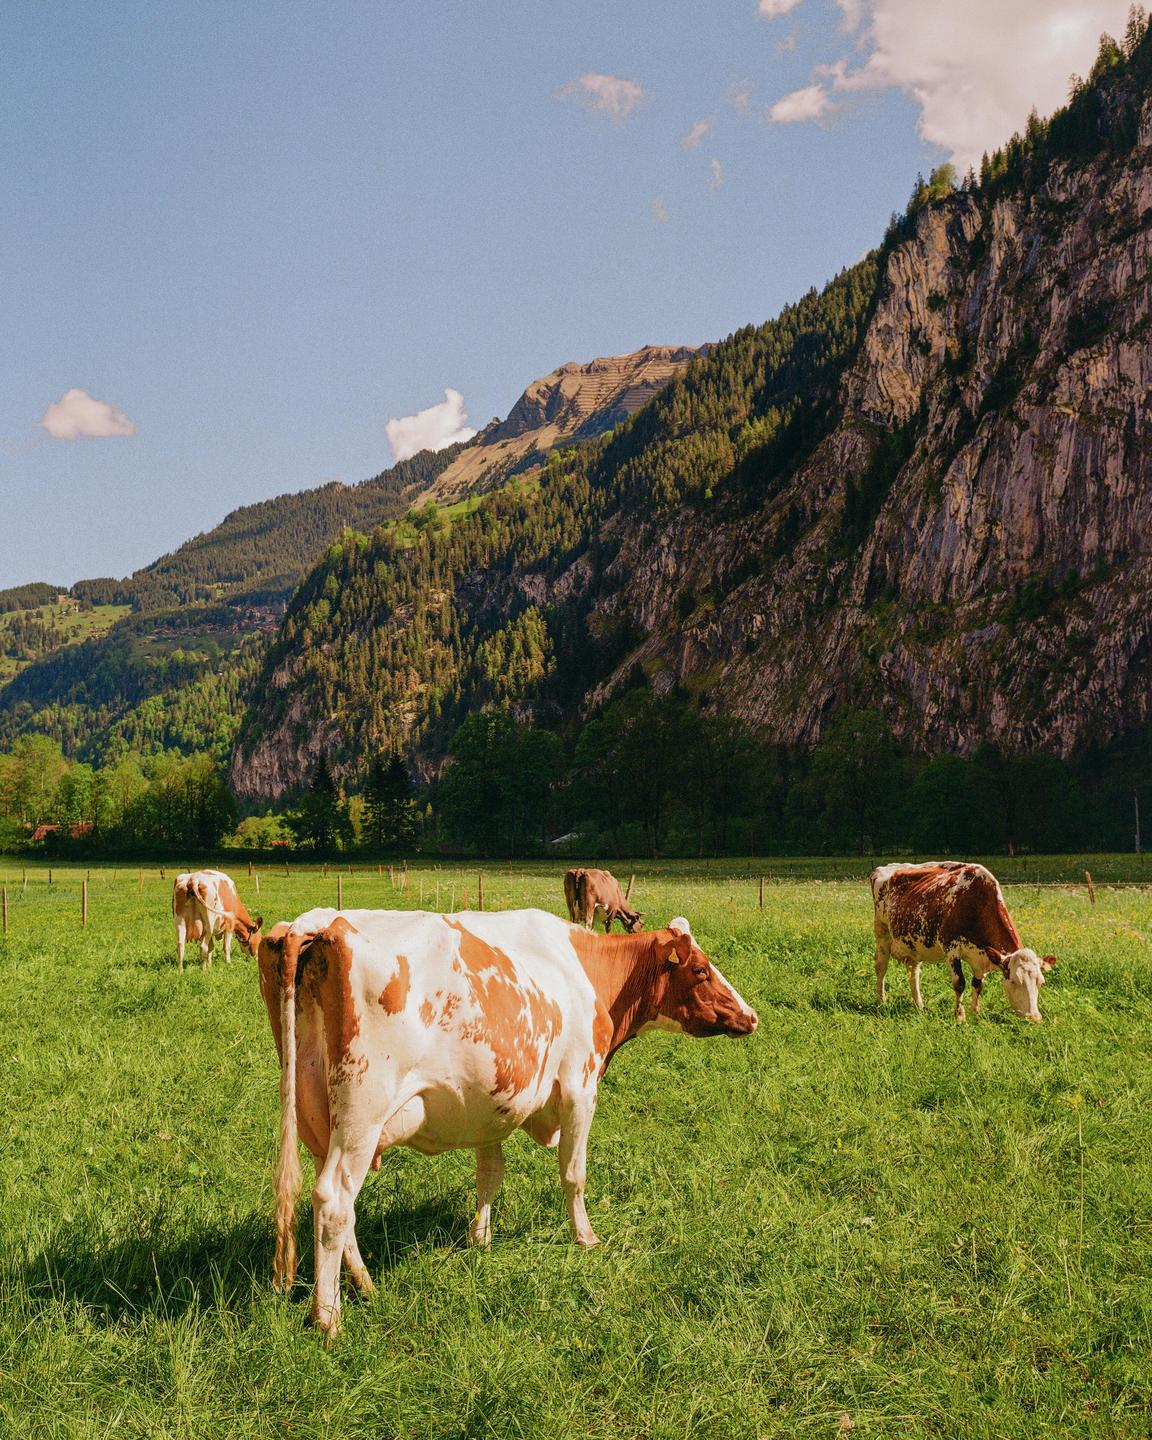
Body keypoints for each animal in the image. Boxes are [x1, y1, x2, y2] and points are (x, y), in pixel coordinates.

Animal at [255, 907, 757, 1337]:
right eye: (701, 970)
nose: (751, 1016)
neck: (583, 969)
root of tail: (321, 922)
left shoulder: (486, 1104)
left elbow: (490, 1175)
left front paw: (480, 1239)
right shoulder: (580, 1086)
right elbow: (573, 1174)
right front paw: (586, 1238)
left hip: (317, 1117)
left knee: (337, 1204)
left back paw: (365, 1285)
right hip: (362, 1114)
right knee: (334, 1201)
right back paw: (328, 1317)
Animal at [871, 861, 1056, 1023]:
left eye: (1041, 982)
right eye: (1014, 981)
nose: (1034, 1018)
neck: (976, 902)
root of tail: (886, 867)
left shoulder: (982, 956)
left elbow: (978, 985)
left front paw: (976, 1012)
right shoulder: (951, 949)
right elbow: (959, 983)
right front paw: (960, 1016)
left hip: (914, 945)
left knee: (913, 973)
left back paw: (919, 1005)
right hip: (882, 934)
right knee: (881, 968)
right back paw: (881, 1001)